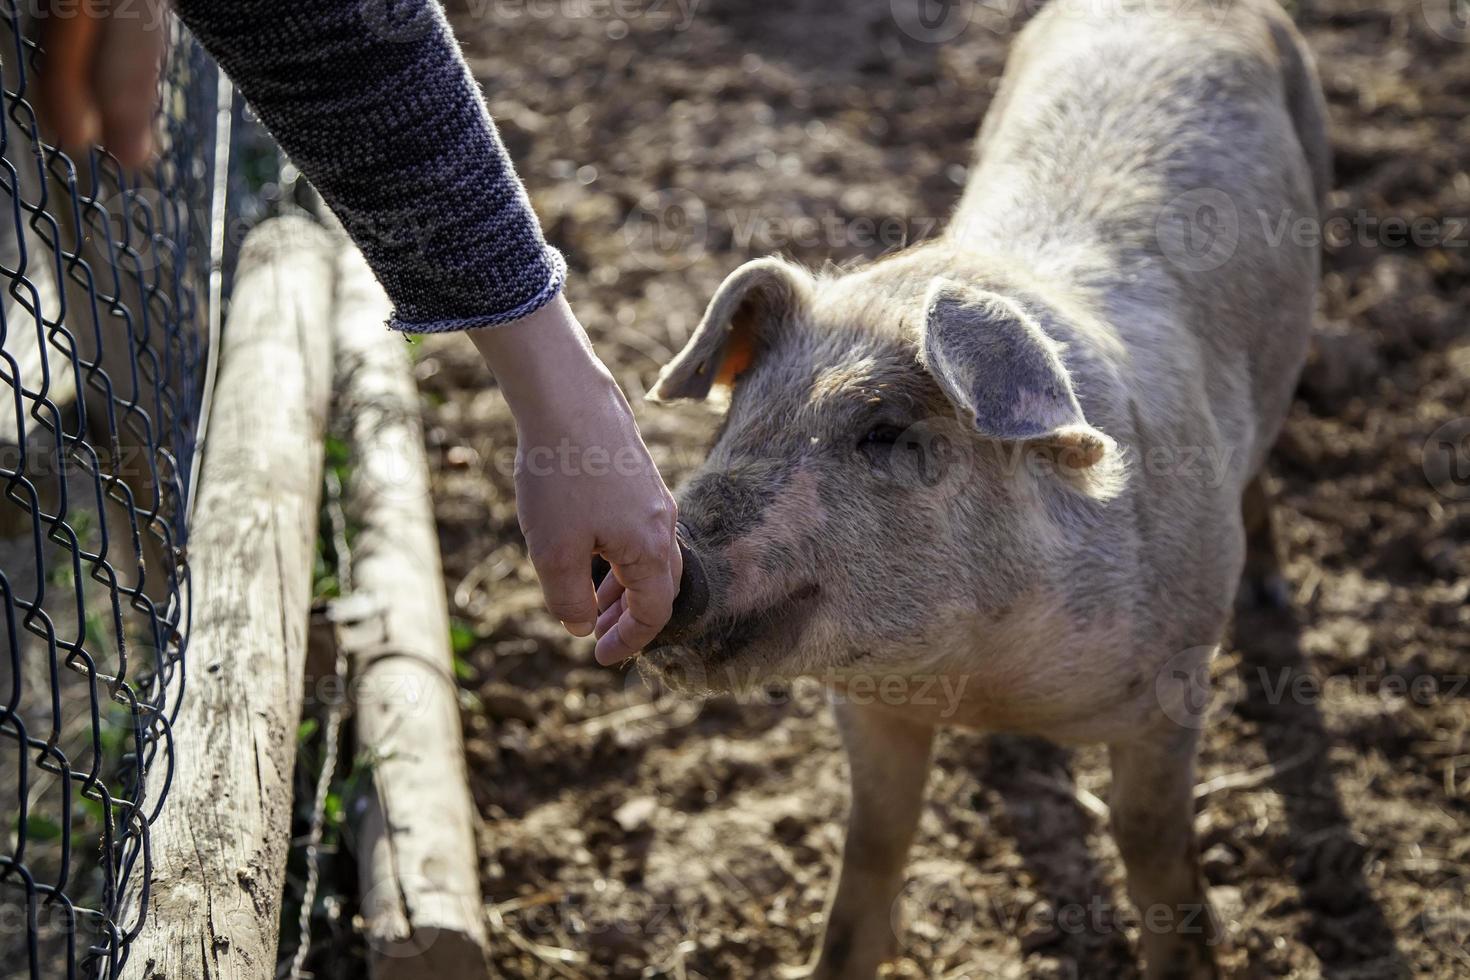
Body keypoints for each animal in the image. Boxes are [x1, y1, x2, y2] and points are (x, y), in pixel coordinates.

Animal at [637, 1, 1328, 980]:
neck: (977, 671)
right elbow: (870, 853)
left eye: (885, 431)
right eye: (738, 417)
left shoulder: (1172, 689)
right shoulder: (867, 711)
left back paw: (1268, 593)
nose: (668, 564)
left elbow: (1154, 849)